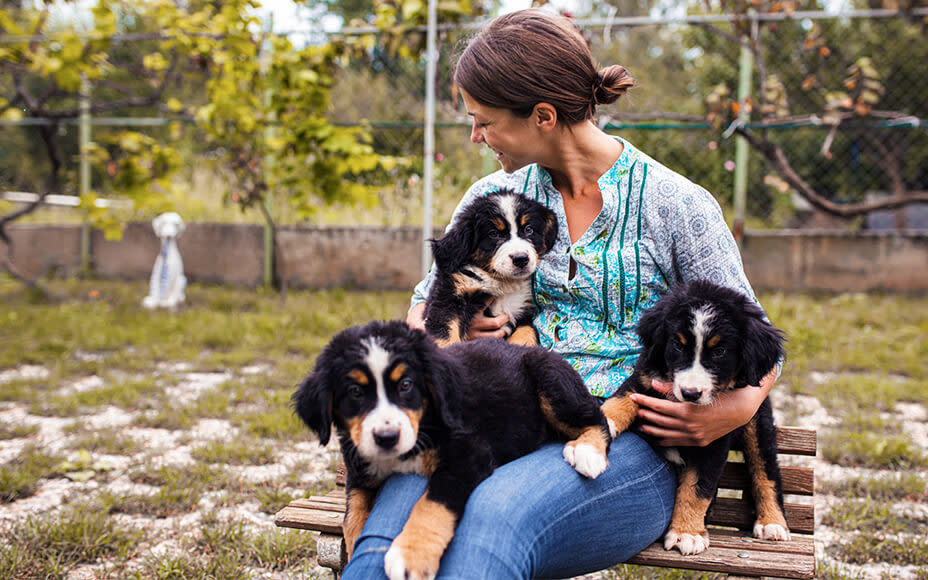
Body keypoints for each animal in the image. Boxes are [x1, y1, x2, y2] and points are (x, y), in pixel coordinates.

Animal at [294, 322, 612, 580]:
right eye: (355, 393)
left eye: (406, 385)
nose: (387, 437)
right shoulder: (359, 471)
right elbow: (353, 514)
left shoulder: (468, 454)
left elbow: (432, 503)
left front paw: (411, 555)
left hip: (549, 377)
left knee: (597, 418)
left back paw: (587, 452)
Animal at [422, 189, 560, 344]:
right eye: (493, 234)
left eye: (528, 229)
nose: (521, 259)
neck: (502, 283)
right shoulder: (448, 298)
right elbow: (446, 336)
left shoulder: (522, 309)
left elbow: (527, 331)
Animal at [600, 280, 792, 556]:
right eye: (678, 345)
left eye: (720, 351)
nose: (691, 393)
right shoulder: (644, 379)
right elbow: (620, 400)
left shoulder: (713, 436)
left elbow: (697, 488)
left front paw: (686, 533)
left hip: (758, 425)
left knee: (766, 472)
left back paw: (772, 523)